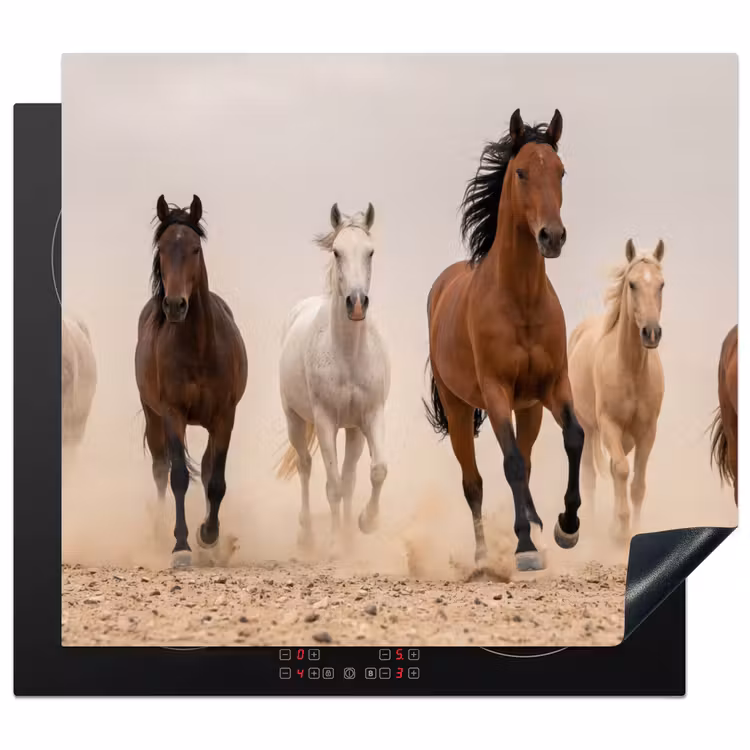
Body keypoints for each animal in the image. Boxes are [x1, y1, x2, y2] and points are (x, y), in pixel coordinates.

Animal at [135, 195, 248, 567]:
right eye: (162, 249)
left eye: (195, 249)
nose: (174, 305)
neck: (199, 348)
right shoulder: (173, 414)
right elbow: (179, 478)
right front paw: (181, 546)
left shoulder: (225, 417)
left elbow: (216, 481)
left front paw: (208, 535)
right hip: (153, 416)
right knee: (160, 469)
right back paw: (159, 530)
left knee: (209, 465)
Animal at [276, 203, 389, 551]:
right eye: (337, 252)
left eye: (370, 252)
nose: (357, 303)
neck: (348, 356)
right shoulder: (325, 421)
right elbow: (333, 486)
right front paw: (336, 544)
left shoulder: (369, 417)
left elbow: (375, 471)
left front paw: (365, 524)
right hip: (296, 421)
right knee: (306, 466)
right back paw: (308, 535)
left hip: (351, 430)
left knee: (348, 477)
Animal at [424, 108, 583, 572]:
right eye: (522, 172)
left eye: (561, 172)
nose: (552, 236)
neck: (522, 301)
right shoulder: (495, 393)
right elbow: (508, 463)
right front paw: (525, 547)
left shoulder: (553, 386)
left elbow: (574, 437)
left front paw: (567, 527)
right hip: (459, 410)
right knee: (473, 482)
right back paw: (483, 557)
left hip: (528, 409)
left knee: (527, 462)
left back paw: (537, 526)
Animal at [567, 239, 666, 539]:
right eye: (632, 284)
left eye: (661, 284)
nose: (651, 332)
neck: (630, 370)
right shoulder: (609, 425)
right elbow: (621, 470)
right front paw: (621, 528)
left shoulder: (647, 432)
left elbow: (637, 485)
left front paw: (632, 530)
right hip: (588, 429)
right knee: (589, 477)